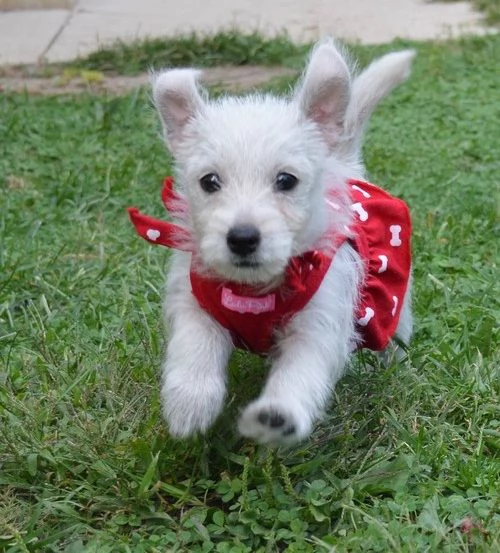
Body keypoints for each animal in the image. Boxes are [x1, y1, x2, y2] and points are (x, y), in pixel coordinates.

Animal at [131, 40, 416, 444]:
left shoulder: (317, 326)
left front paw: (277, 416)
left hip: (394, 303)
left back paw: (395, 368)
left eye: (286, 180)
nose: (242, 238)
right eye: (209, 181)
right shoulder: (196, 304)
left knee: (395, 335)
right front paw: (190, 404)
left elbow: (298, 376)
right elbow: (194, 347)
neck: (253, 291)